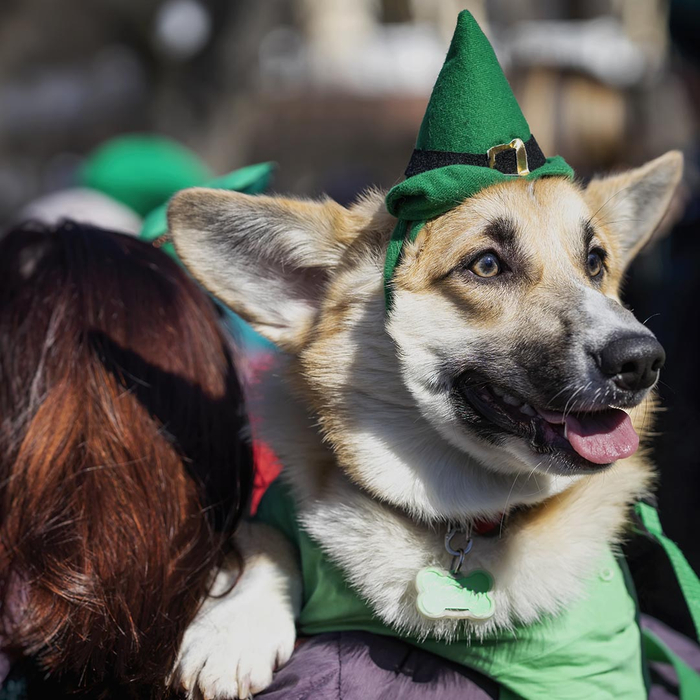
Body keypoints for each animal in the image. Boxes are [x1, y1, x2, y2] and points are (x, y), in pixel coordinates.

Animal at [167, 150, 680, 696]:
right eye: (487, 265)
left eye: (595, 262)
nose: (643, 361)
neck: (467, 516)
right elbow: (263, 534)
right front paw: (233, 630)